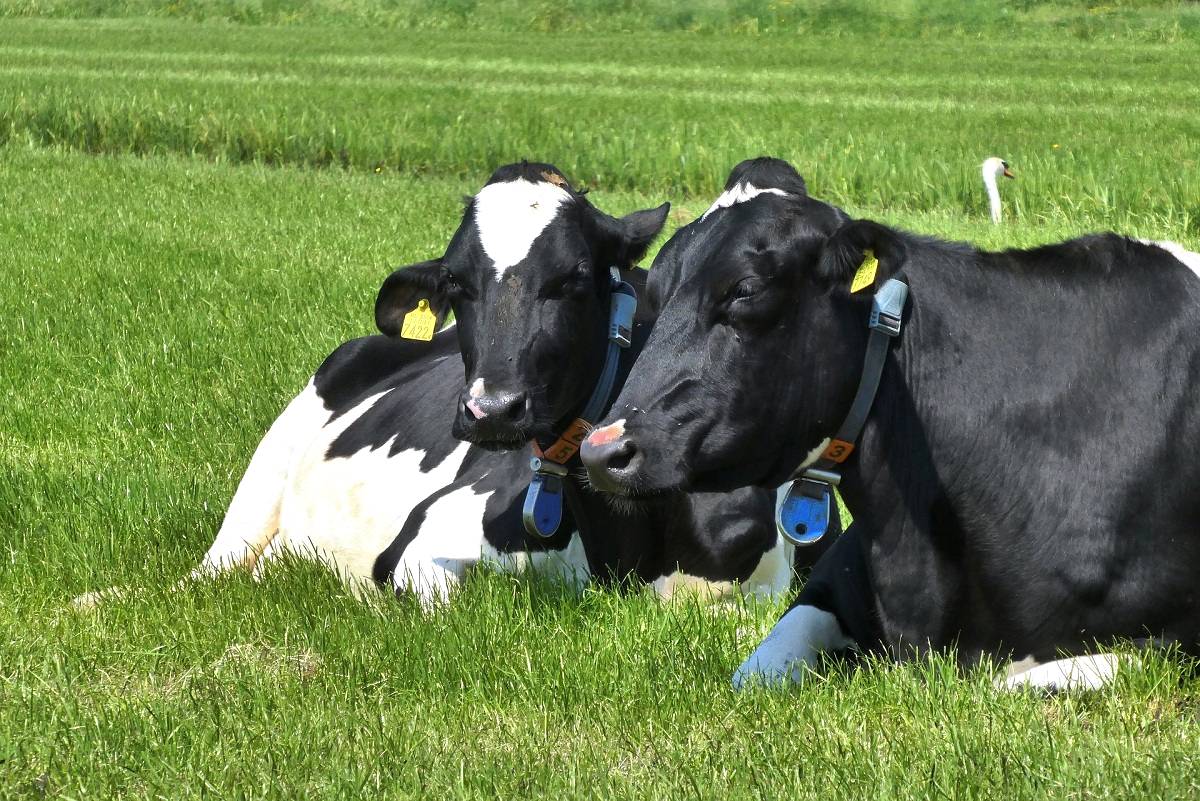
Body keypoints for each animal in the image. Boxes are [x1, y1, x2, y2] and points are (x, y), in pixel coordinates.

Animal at [79, 163, 830, 609]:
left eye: (572, 279)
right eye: (457, 285)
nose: (492, 408)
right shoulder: (424, 542)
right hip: (270, 462)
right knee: (210, 571)